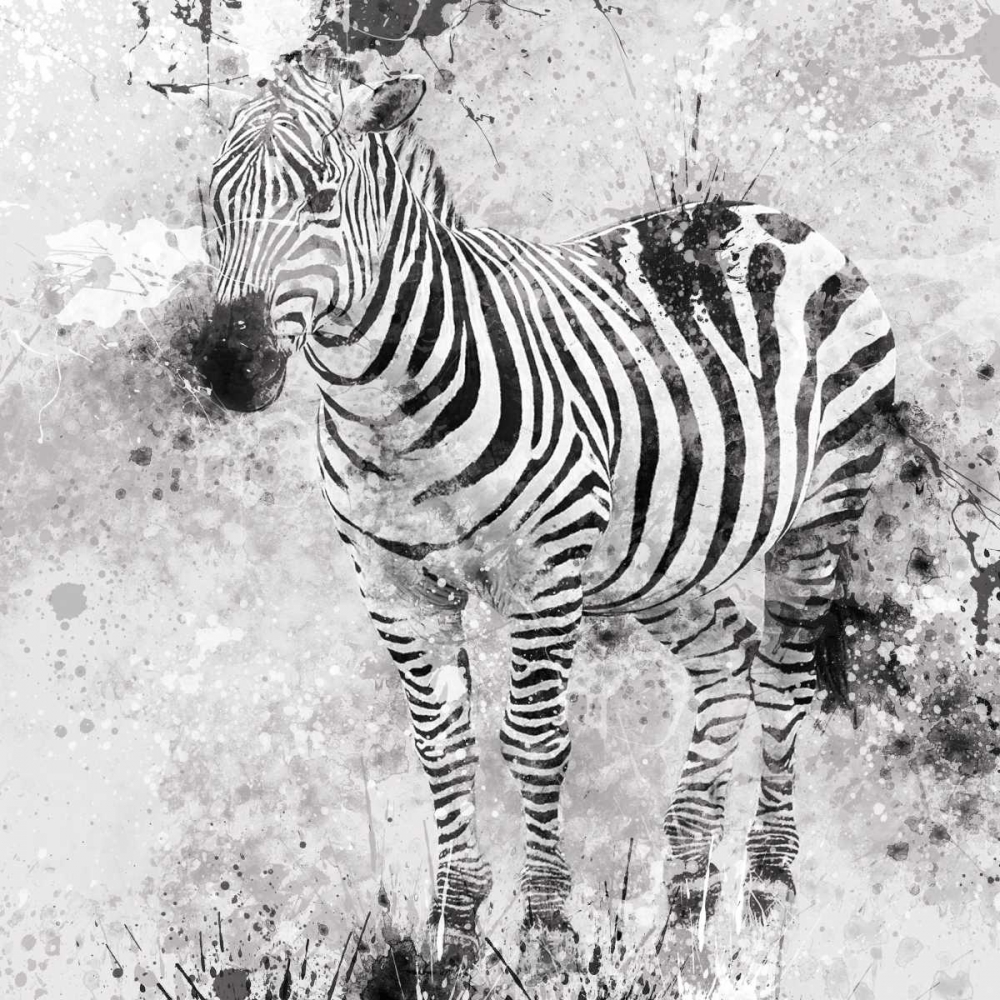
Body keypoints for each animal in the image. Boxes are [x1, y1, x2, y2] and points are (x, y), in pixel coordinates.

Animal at [194, 46, 896, 957]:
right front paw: (453, 928)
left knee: (782, 678)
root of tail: (770, 214)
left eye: (320, 199)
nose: (229, 367)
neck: (385, 408)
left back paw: (769, 884)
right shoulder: (393, 588)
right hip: (659, 557)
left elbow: (533, 740)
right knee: (725, 661)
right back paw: (690, 894)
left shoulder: (545, 571)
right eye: (212, 203)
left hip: (821, 509)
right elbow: (441, 745)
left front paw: (548, 926)